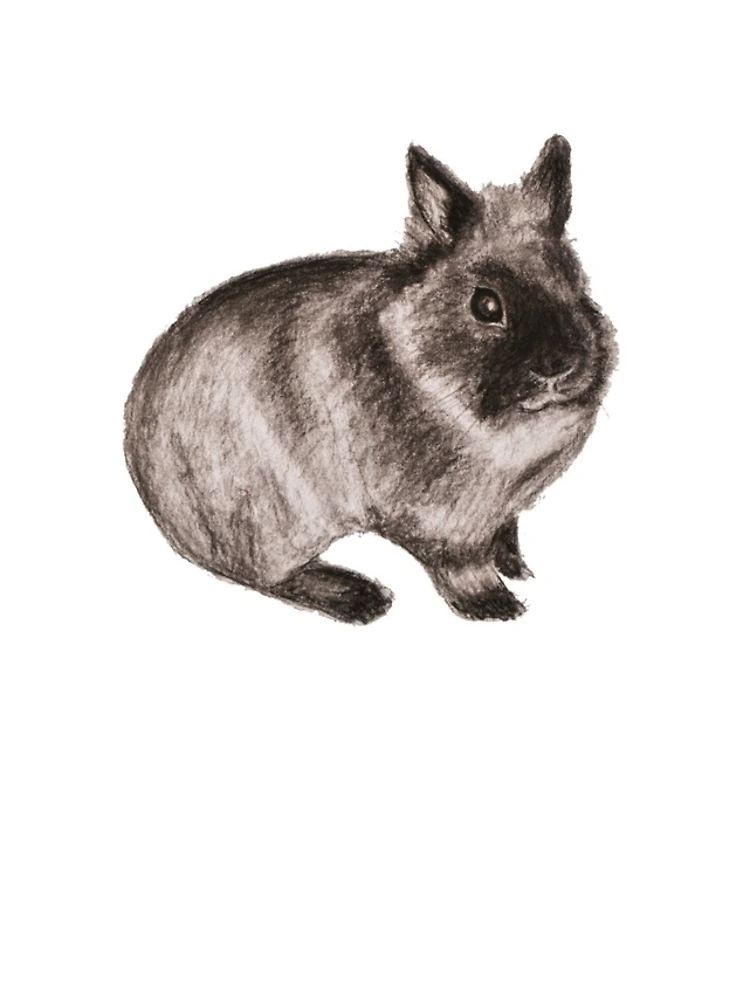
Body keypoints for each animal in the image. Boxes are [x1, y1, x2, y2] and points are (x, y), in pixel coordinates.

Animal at [124, 135, 616, 624]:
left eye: (577, 285)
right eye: (486, 305)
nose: (559, 366)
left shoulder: (502, 512)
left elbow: (506, 534)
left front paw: (517, 567)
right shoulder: (445, 523)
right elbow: (462, 567)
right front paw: (496, 605)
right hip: (274, 524)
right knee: (268, 577)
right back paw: (358, 597)